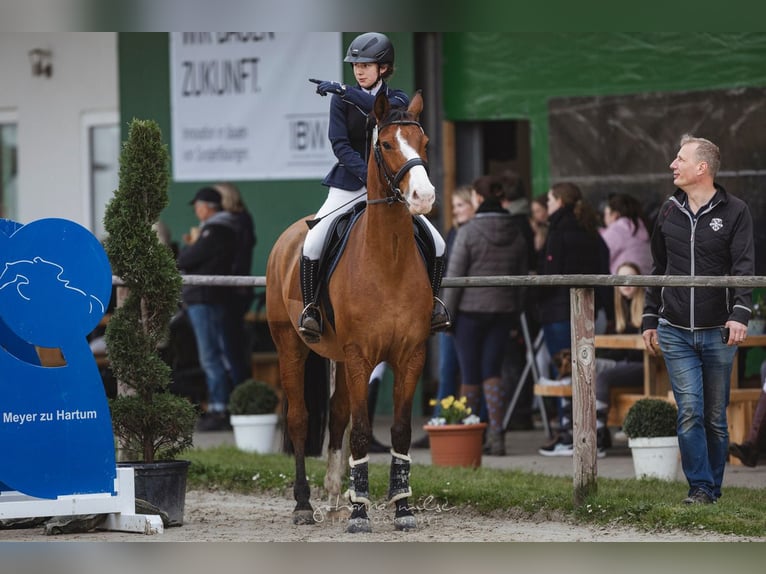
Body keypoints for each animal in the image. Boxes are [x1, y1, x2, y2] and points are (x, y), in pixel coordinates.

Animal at [268, 90, 438, 536]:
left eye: (424, 142)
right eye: (386, 144)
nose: (424, 197)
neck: (388, 258)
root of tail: (286, 238)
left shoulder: (410, 355)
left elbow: (399, 431)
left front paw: (401, 507)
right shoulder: (362, 356)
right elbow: (361, 432)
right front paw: (362, 514)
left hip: (340, 359)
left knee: (337, 416)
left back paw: (334, 499)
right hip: (291, 346)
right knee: (300, 419)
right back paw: (304, 504)